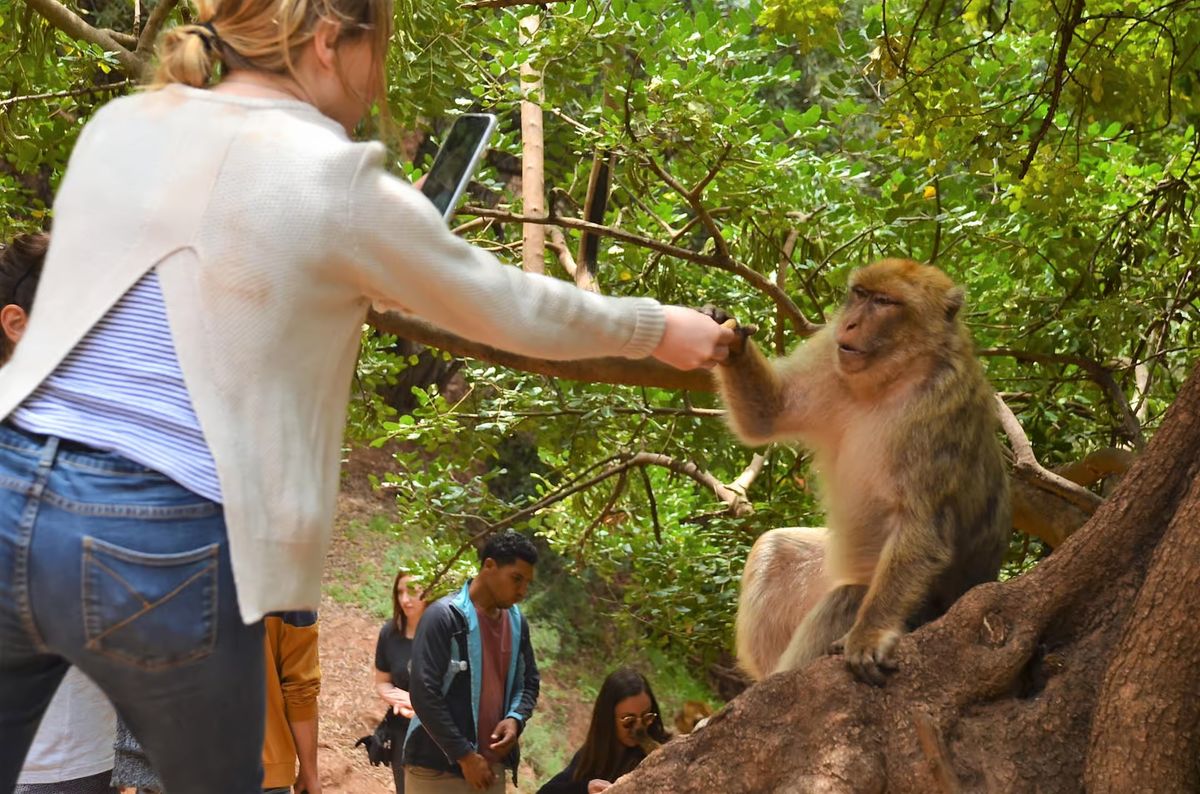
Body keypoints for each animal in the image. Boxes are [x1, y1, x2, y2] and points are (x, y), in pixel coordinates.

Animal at [711, 258, 1011, 685]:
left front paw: (869, 635)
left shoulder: (942, 409)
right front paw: (729, 337)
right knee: (777, 548)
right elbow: (768, 414)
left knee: (848, 596)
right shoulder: (829, 357)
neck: (890, 379)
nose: (850, 324)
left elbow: (922, 527)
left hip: (921, 612)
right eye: (860, 294)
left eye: (885, 302)